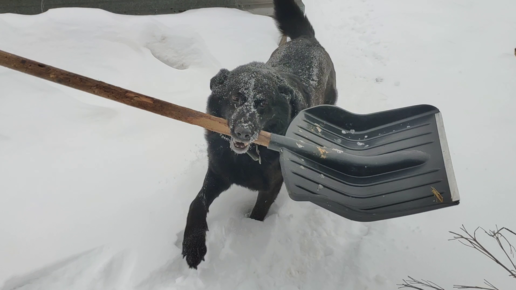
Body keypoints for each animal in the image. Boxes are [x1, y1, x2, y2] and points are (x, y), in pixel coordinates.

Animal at [182, 0, 338, 268]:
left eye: (262, 103)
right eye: (235, 98)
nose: (243, 132)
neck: (248, 157)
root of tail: (307, 39)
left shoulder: (272, 185)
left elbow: (258, 213)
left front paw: (251, 235)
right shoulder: (218, 172)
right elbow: (197, 203)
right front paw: (193, 244)